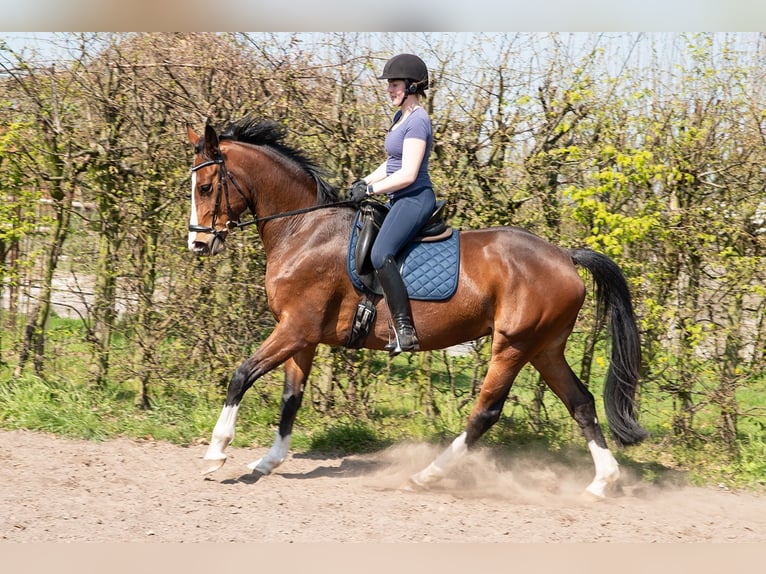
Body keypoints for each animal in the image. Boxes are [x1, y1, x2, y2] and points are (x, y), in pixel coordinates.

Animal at [186, 117, 648, 500]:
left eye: (205, 187)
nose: (197, 243)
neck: (304, 228)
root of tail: (565, 257)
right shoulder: (304, 335)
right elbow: (291, 397)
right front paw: (268, 461)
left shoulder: (295, 328)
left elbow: (241, 375)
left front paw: (216, 453)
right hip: (544, 348)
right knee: (581, 403)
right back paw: (602, 483)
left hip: (513, 345)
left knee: (486, 412)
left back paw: (426, 476)